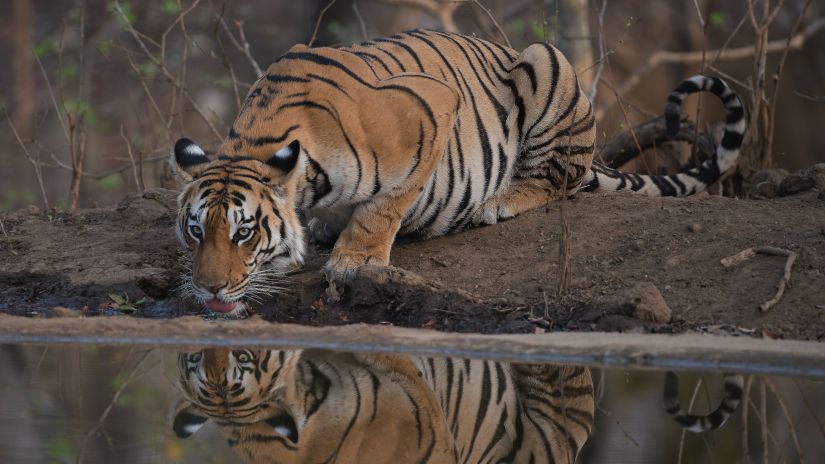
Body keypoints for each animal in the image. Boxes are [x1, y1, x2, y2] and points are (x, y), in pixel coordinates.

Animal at [171, 28, 748, 312]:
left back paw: (500, 202)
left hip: (546, 63)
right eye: (196, 231)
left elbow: (384, 207)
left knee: (558, 180)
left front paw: (354, 261)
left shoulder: (431, 108)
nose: (209, 290)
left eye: (244, 232)